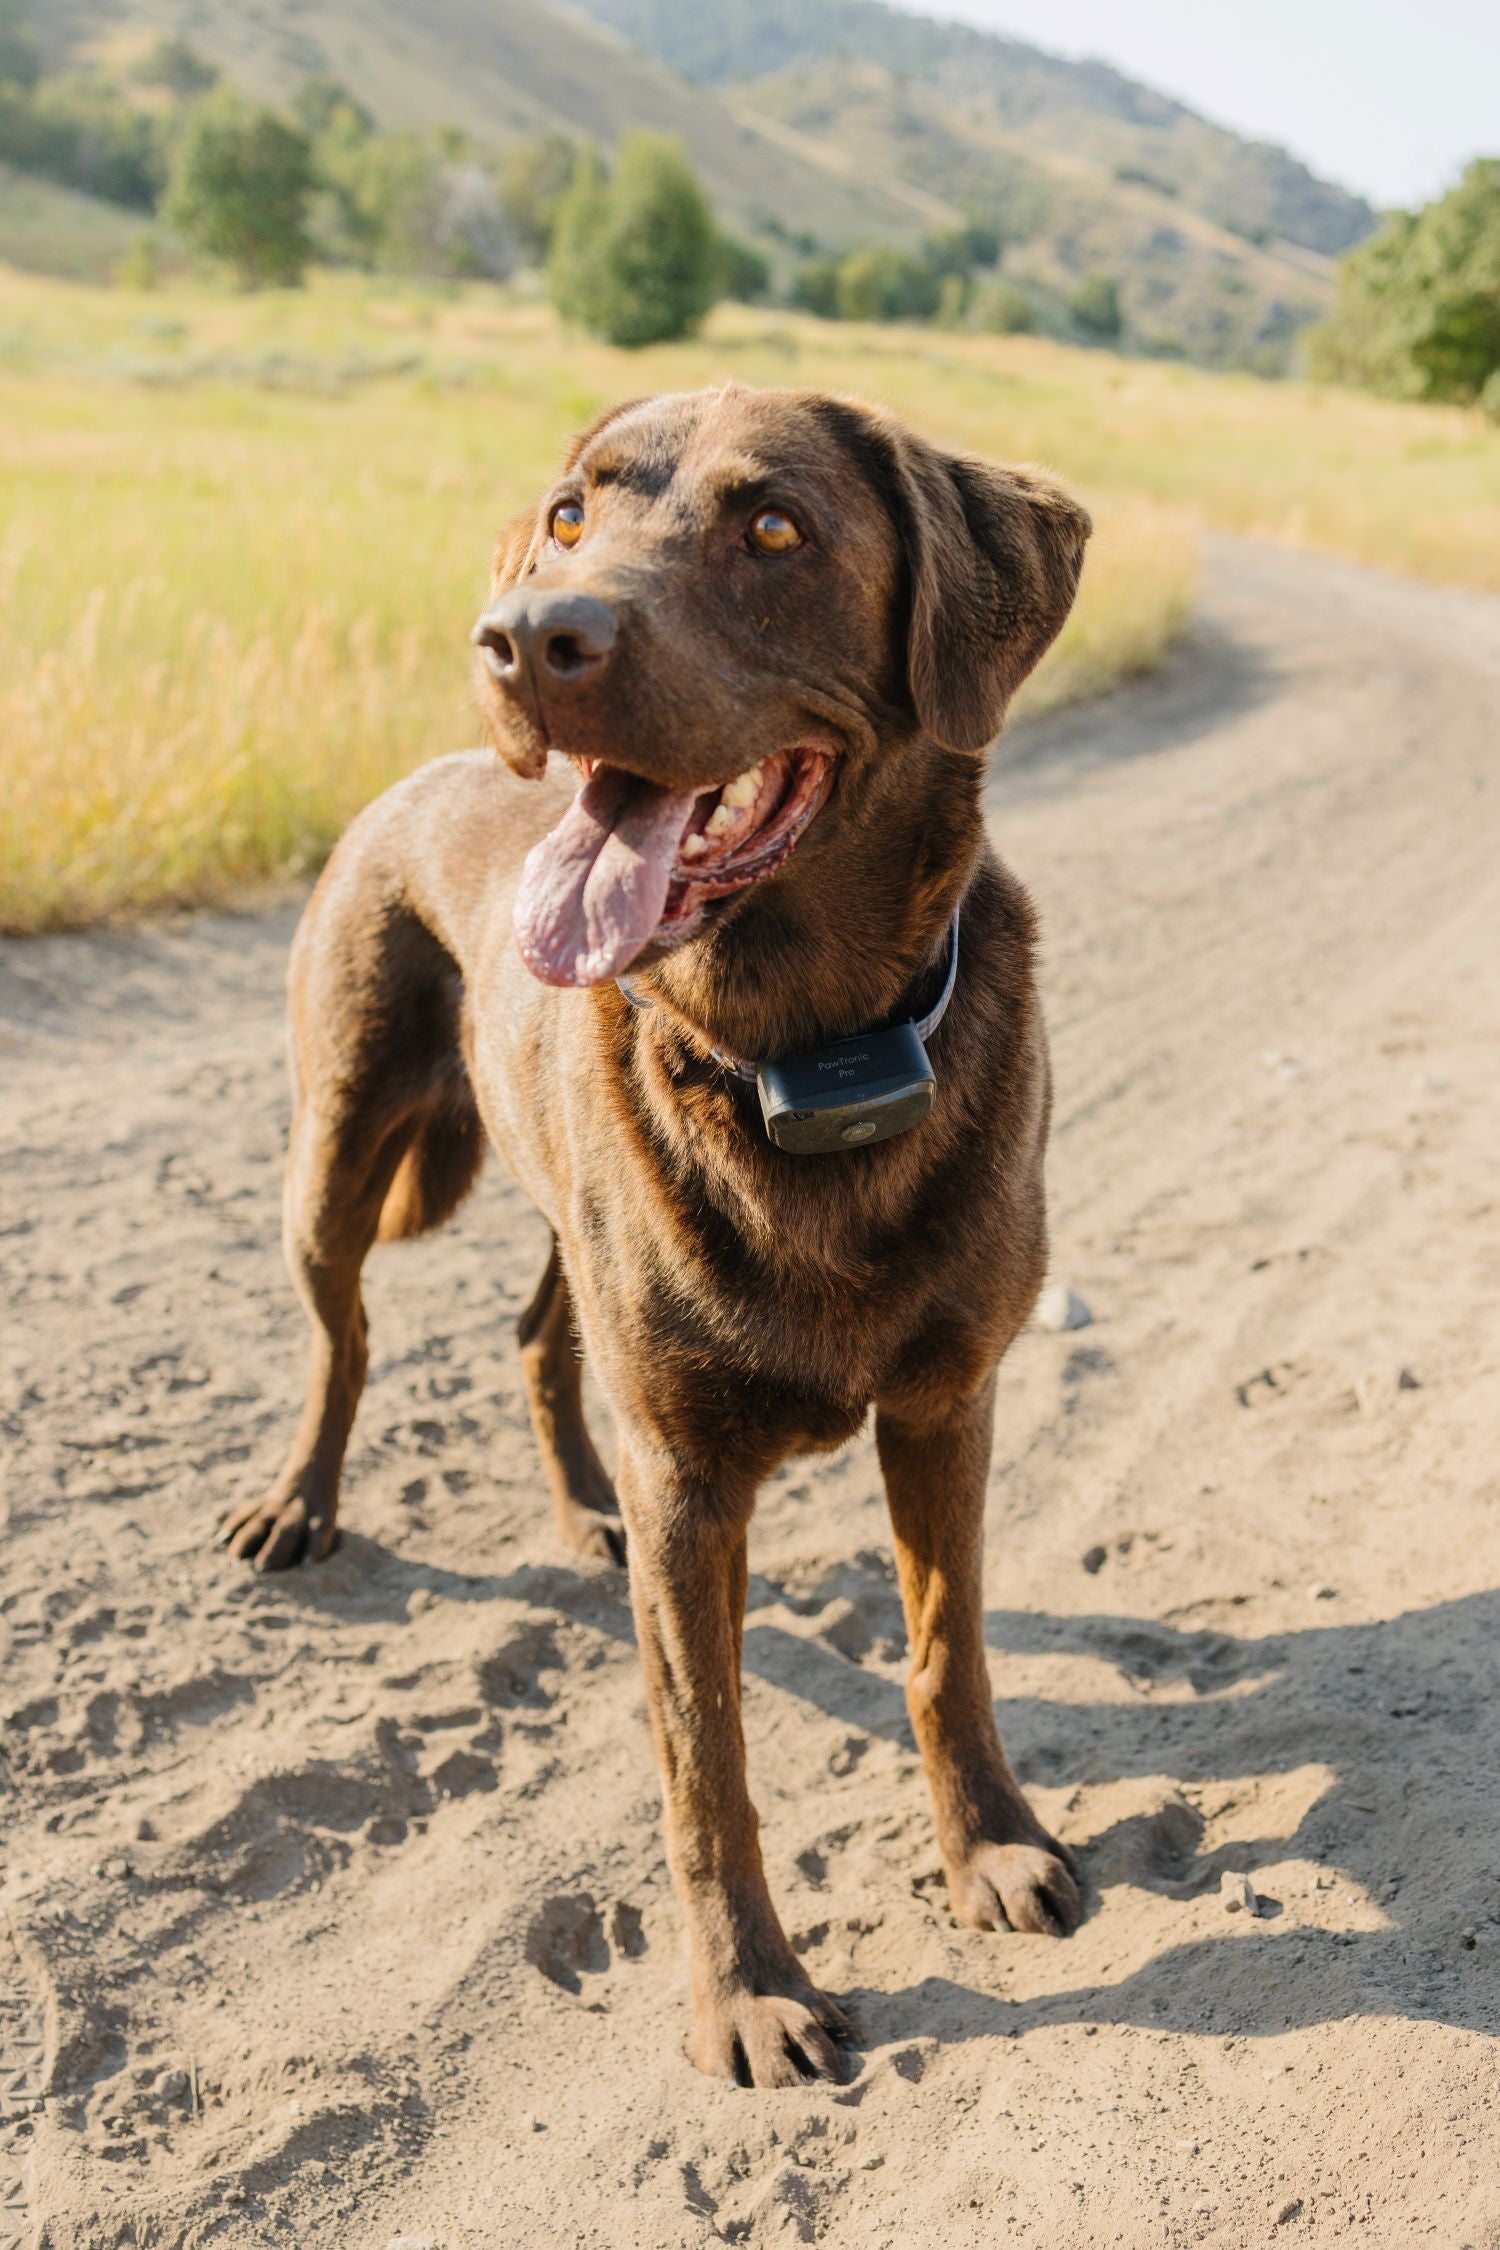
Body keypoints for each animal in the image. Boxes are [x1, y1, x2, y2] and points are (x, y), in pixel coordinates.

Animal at [220, 378, 1092, 2079]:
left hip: (577, 1227)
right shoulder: (691, 1482)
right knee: (341, 1335)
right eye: (571, 515)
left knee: (534, 1340)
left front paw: (992, 1845)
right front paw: (748, 1989)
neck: (806, 1056)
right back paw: (298, 1502)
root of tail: (422, 772)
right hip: (335, 1149)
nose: (520, 636)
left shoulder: (945, 1404)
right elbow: (707, 1756)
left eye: (776, 528)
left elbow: (944, 1649)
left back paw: (579, 1507)